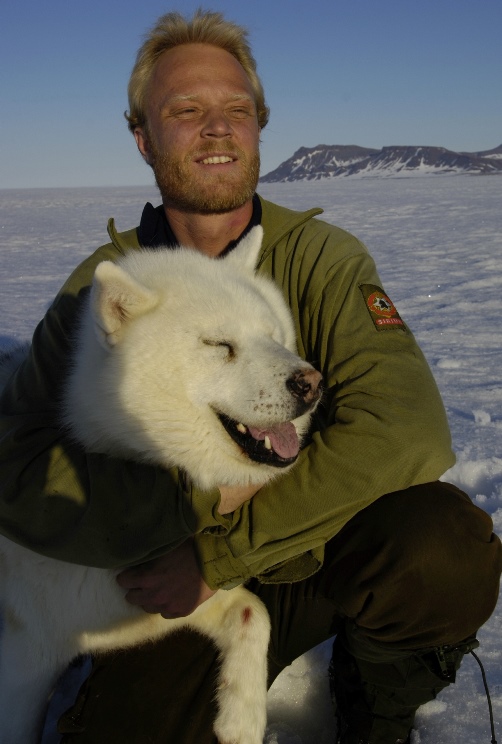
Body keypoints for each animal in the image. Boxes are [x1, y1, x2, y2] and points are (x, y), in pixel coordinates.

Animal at [0, 228, 322, 744]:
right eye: (219, 344)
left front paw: (241, 718)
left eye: (274, 335)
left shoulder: (176, 598)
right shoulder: (26, 659)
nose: (311, 382)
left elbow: (254, 613)